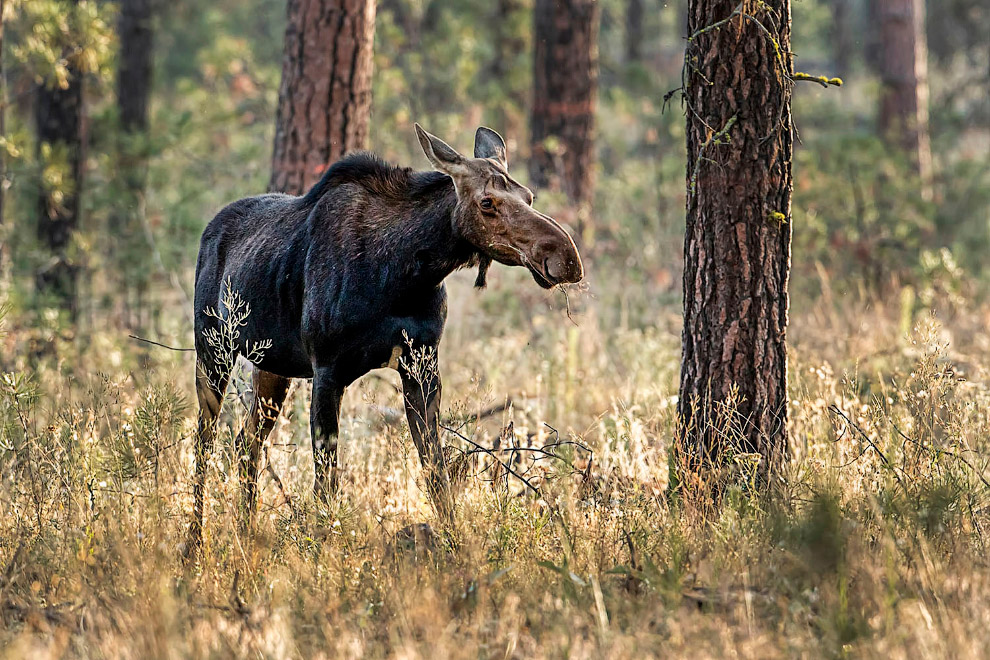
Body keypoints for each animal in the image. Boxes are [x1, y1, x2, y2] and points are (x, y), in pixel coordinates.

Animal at [190, 124, 584, 548]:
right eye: (487, 202)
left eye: (528, 196)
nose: (565, 257)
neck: (408, 272)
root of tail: (209, 230)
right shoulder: (327, 368)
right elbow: (326, 479)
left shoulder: (422, 365)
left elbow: (435, 470)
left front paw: (456, 545)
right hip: (212, 349)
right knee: (205, 442)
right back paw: (195, 542)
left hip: (272, 366)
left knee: (245, 444)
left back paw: (244, 533)